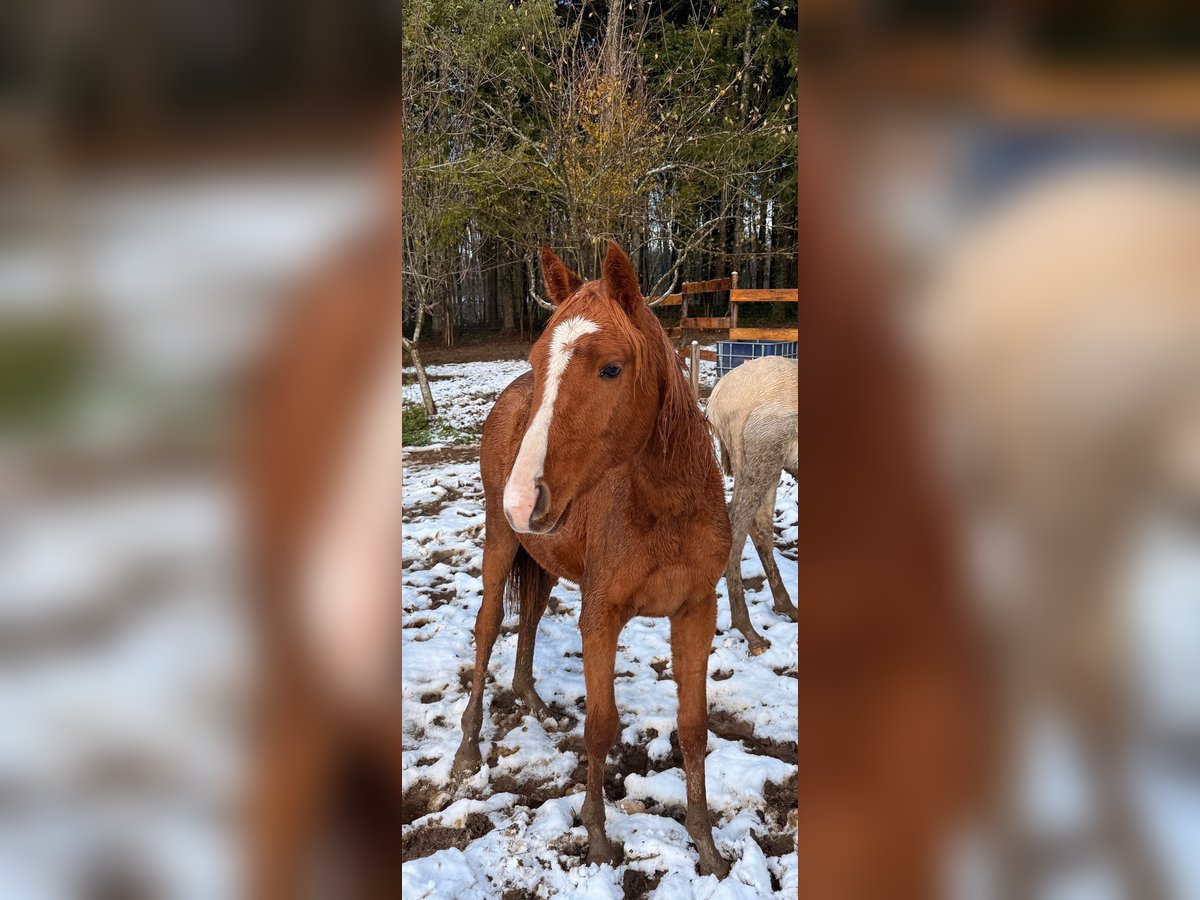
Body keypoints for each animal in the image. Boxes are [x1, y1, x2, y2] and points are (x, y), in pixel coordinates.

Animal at [449, 241, 734, 877]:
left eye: (610, 368)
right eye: (538, 360)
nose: (522, 499)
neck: (664, 510)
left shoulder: (696, 611)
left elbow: (694, 728)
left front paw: (705, 847)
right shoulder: (601, 616)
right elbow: (601, 727)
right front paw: (599, 837)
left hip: (544, 558)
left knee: (530, 618)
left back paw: (532, 702)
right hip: (500, 544)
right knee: (487, 628)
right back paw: (466, 750)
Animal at [706, 355, 799, 654]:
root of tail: (715, 399)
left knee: (759, 524)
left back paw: (786, 605)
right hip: (762, 453)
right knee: (737, 523)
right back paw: (749, 630)